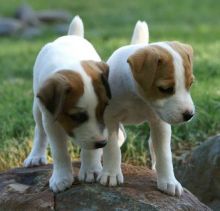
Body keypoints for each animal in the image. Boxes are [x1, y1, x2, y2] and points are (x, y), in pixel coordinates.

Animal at [23, 15, 111, 192]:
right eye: (77, 116)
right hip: (38, 108)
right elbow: (59, 152)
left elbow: (89, 148)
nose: (102, 143)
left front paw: (91, 169)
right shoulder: (51, 121)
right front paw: (61, 178)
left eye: (104, 109)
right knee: (39, 131)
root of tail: (72, 36)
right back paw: (35, 156)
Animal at [99, 20, 195, 197]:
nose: (189, 115)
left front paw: (169, 181)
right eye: (165, 89)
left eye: (190, 84)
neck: (138, 97)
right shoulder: (109, 119)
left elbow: (164, 154)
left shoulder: (160, 123)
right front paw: (110, 173)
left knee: (153, 144)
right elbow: (112, 148)